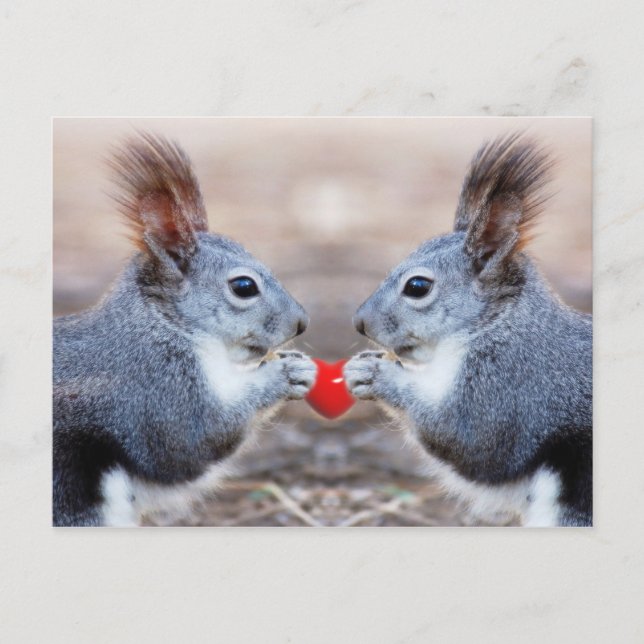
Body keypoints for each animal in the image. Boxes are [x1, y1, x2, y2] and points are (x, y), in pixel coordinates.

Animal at [53, 133, 316, 526]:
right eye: (244, 287)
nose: (300, 323)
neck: (164, 326)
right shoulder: (154, 389)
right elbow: (193, 442)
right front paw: (284, 374)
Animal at [344, 133, 592, 527]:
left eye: (417, 287)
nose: (360, 323)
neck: (497, 323)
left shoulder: (513, 385)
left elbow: (469, 440)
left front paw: (375, 374)